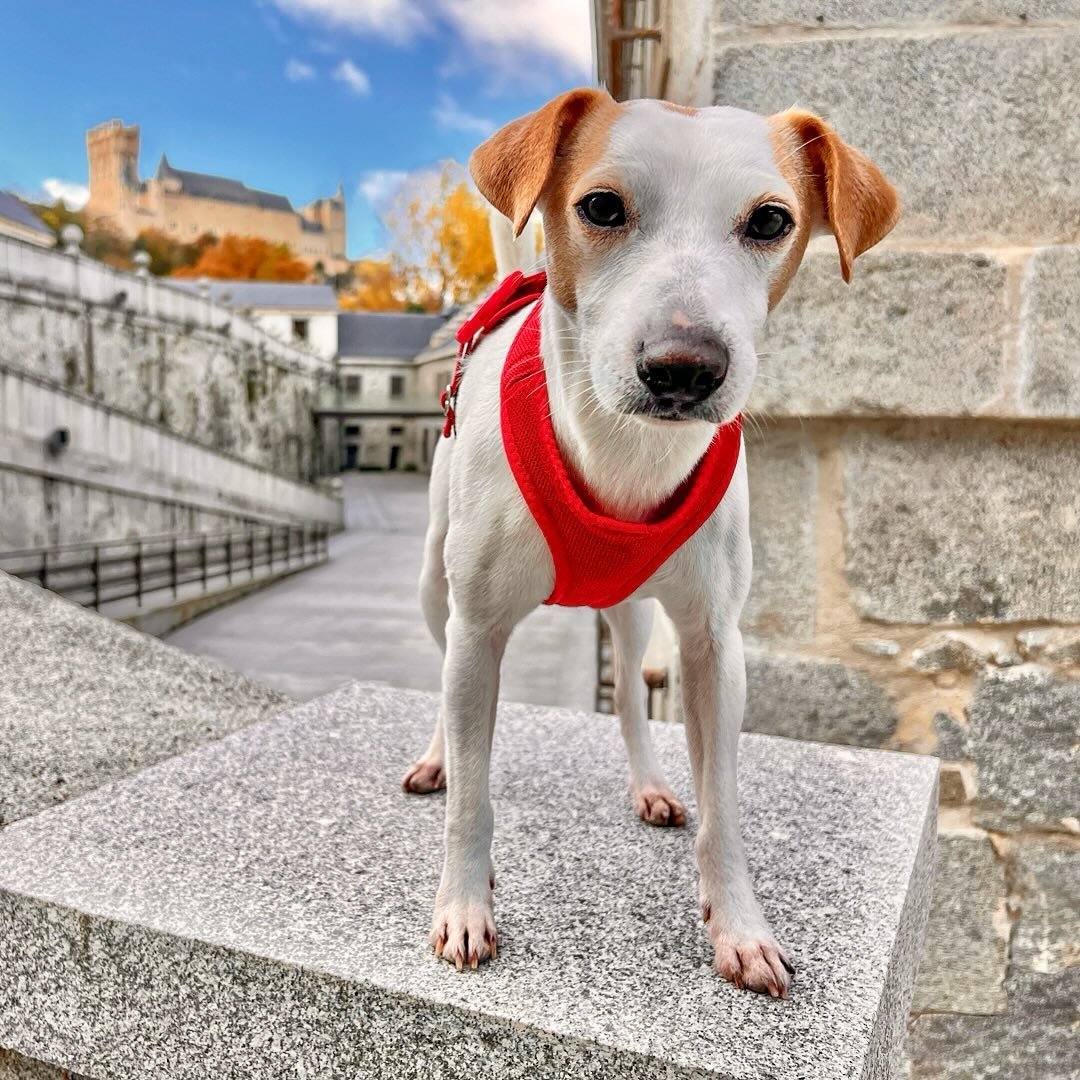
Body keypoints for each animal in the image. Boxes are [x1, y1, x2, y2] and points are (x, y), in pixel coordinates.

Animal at [401, 88, 898, 997]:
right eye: (601, 207)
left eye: (770, 221)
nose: (684, 367)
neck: (622, 452)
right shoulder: (479, 628)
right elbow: (472, 802)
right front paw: (463, 904)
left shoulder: (712, 645)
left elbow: (724, 806)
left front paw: (740, 926)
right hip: (434, 584)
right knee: (446, 678)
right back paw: (437, 757)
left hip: (631, 612)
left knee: (632, 697)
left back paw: (651, 783)